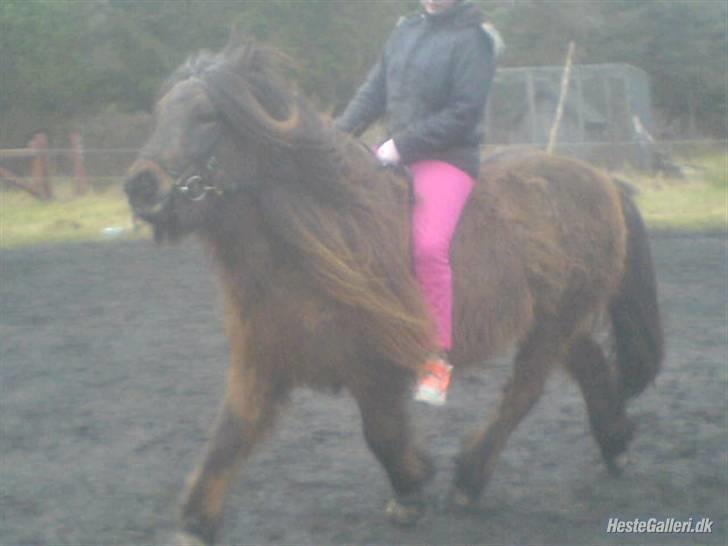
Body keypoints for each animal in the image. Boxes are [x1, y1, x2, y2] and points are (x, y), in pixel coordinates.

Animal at [126, 39, 664, 544]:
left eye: (208, 116)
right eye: (161, 112)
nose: (140, 187)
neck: (323, 236)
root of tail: (604, 181)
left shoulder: (375, 364)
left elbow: (381, 434)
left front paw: (409, 491)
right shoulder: (262, 360)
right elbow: (229, 438)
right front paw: (195, 523)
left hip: (554, 323)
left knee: (524, 392)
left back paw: (470, 479)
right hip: (556, 320)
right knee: (590, 365)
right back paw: (615, 444)